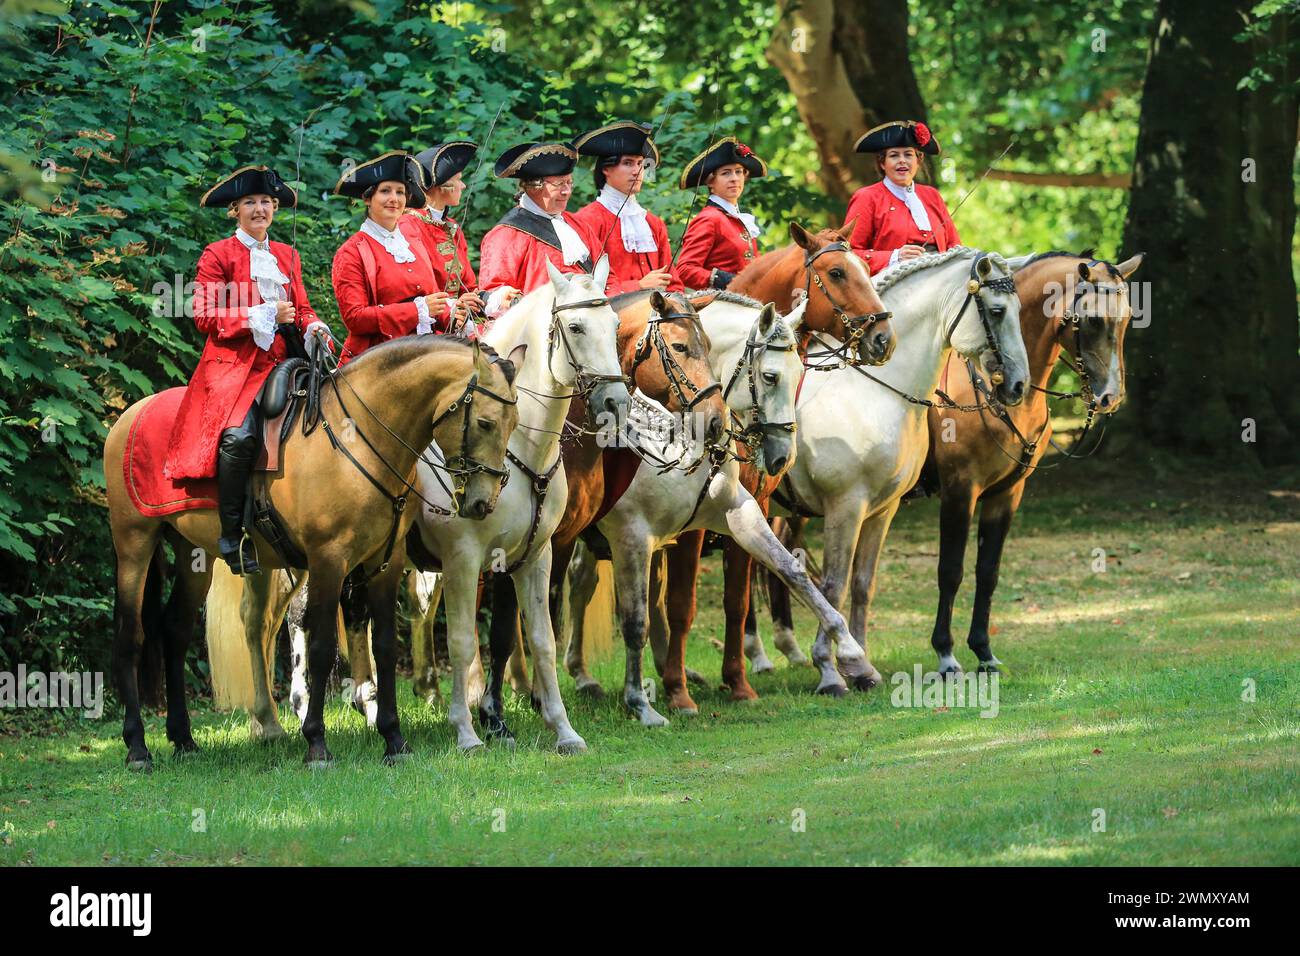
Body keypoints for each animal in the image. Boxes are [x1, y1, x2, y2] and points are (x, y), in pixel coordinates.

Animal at [102, 335, 517, 770]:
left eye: (514, 424)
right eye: (485, 423)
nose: (483, 503)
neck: (361, 439)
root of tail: (133, 413)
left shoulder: (385, 562)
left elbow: (385, 646)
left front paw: (394, 738)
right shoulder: (328, 561)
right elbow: (320, 648)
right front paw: (317, 743)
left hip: (193, 553)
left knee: (176, 631)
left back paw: (183, 738)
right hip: (134, 542)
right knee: (130, 634)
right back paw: (137, 747)